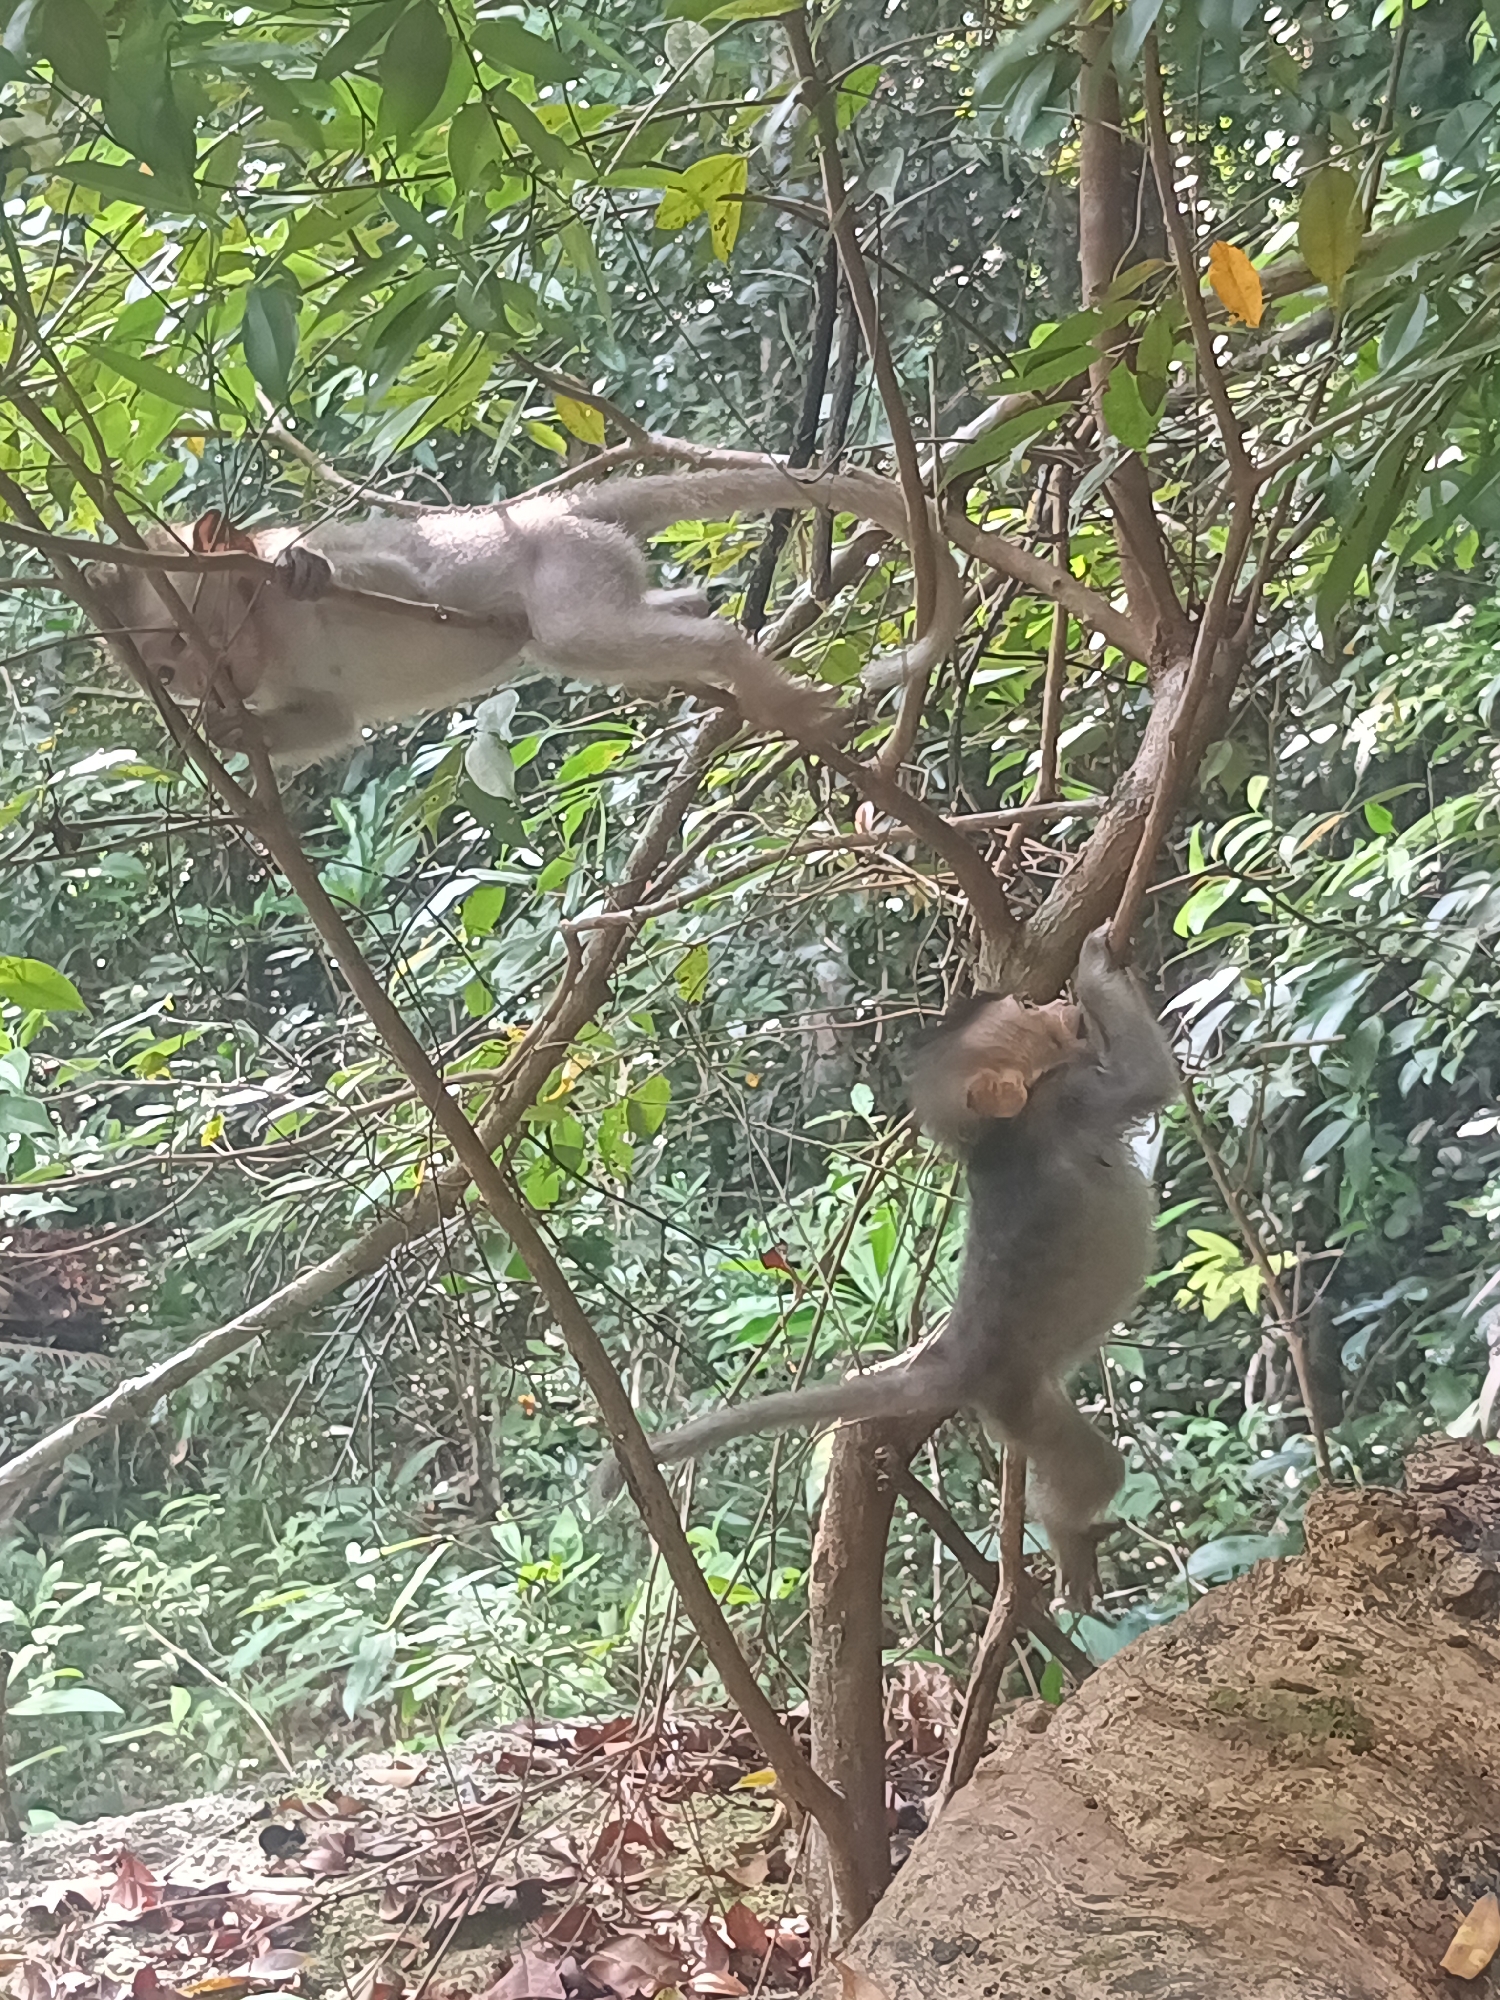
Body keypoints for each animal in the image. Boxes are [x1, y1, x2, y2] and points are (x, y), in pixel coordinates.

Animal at [89, 464, 964, 769]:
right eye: (165, 668)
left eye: (184, 637)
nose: (201, 684)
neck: (267, 632)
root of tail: (556, 509)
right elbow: (332, 719)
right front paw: (232, 735)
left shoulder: (285, 556)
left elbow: (394, 576)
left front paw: (311, 573)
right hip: (597, 558)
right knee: (591, 638)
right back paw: (689, 623)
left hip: (564, 556)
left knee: (575, 636)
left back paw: (734, 661)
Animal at [594, 927, 1180, 1607]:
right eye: (1028, 1014)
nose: (1058, 1005)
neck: (996, 1137)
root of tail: (956, 1358)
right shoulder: (1074, 1094)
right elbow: (1146, 1078)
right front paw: (1094, 963)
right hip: (1018, 1398)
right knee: (1095, 1470)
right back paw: (1065, 1535)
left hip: (1022, 1405)